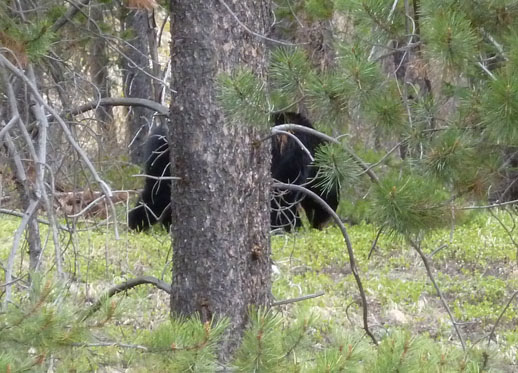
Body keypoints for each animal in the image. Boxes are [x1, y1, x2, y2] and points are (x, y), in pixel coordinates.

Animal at [129, 112, 342, 231]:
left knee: (154, 194)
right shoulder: (291, 161)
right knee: (159, 197)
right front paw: (289, 227)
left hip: (162, 167)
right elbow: (281, 198)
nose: (320, 224)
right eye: (332, 202)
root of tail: (161, 132)